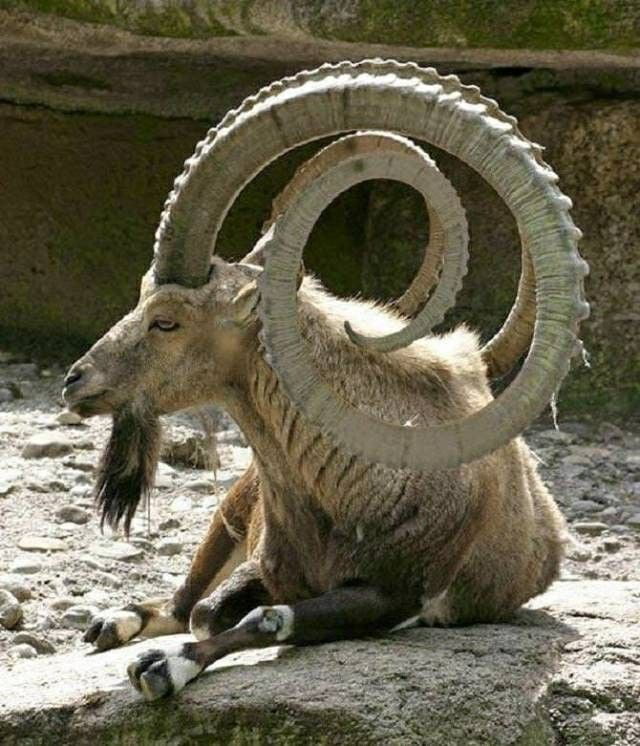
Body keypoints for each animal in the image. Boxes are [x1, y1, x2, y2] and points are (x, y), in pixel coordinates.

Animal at [62, 60, 588, 701]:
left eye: (167, 320)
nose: (75, 381)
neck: (348, 483)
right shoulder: (266, 563)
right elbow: (210, 609)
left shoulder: (397, 594)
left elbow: (263, 618)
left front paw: (165, 667)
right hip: (230, 509)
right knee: (183, 597)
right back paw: (112, 622)